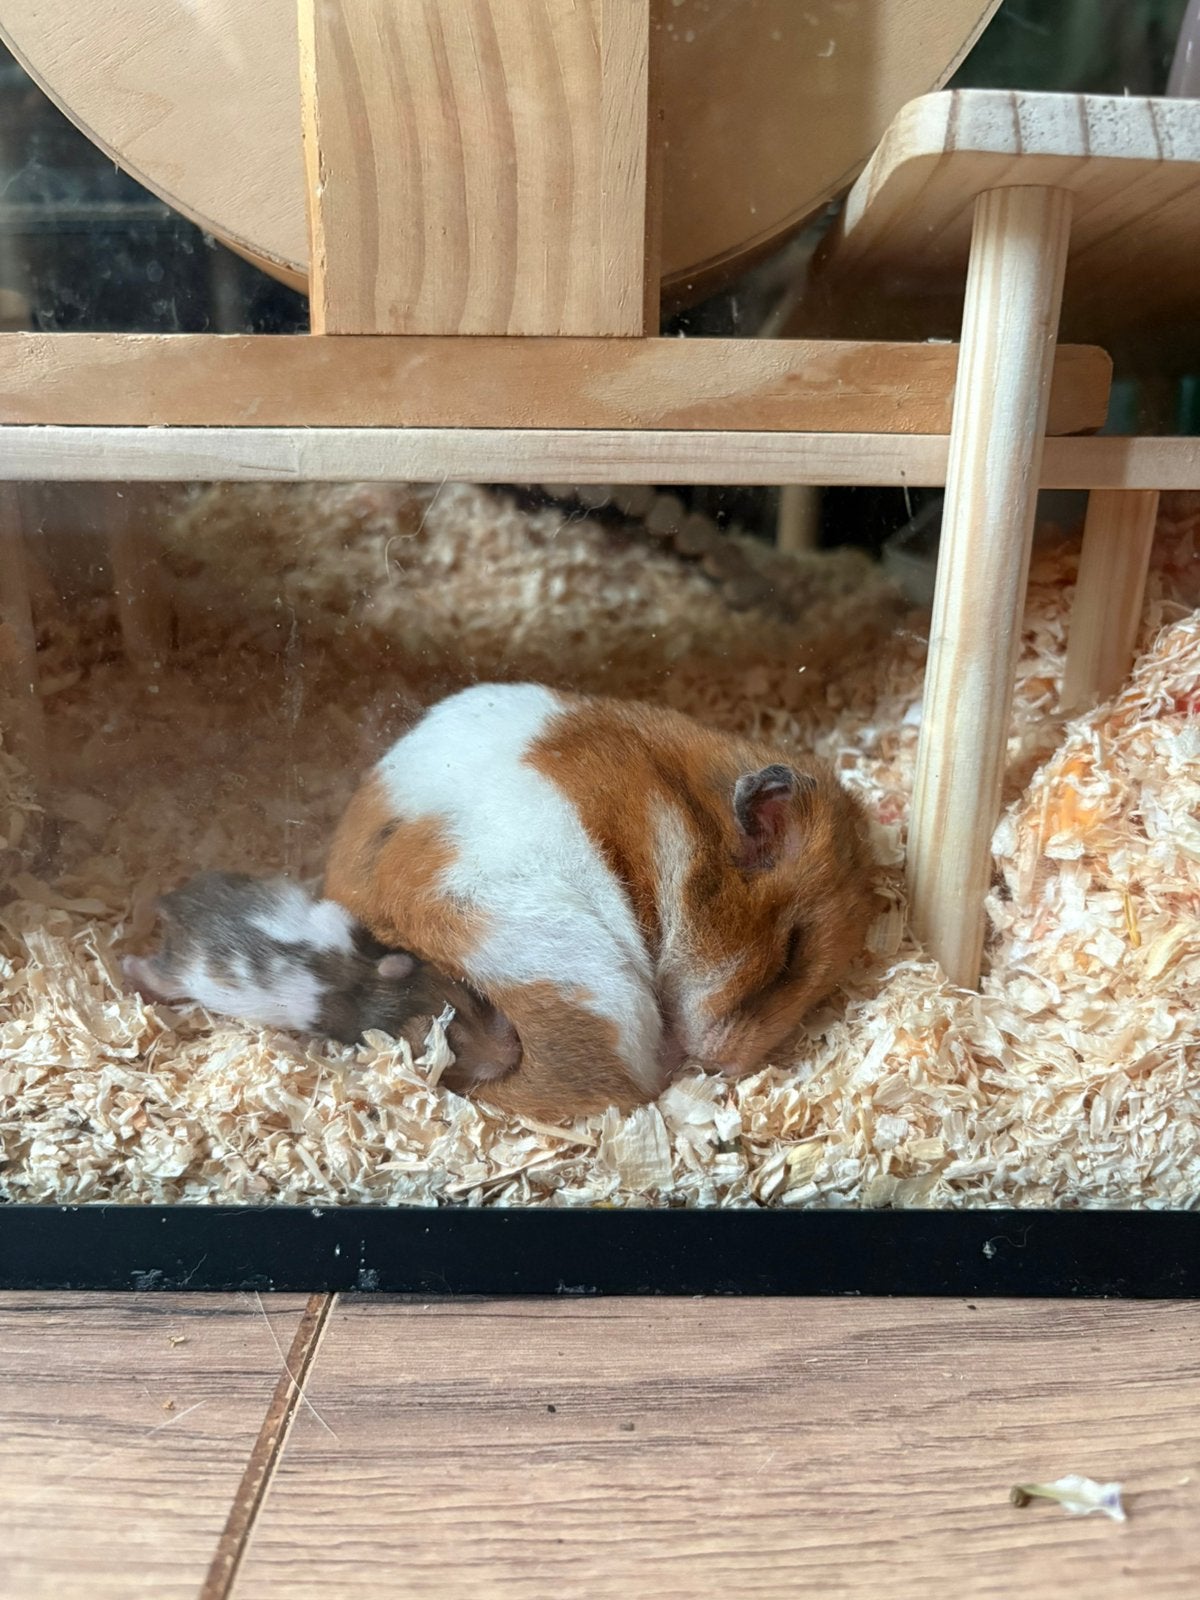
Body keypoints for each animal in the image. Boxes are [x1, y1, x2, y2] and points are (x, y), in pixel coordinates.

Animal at [121, 870, 521, 1082]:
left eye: (474, 1000)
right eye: (446, 1046)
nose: (513, 1054)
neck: (370, 985)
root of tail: (171, 906)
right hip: (175, 972)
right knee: (147, 970)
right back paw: (127, 971)